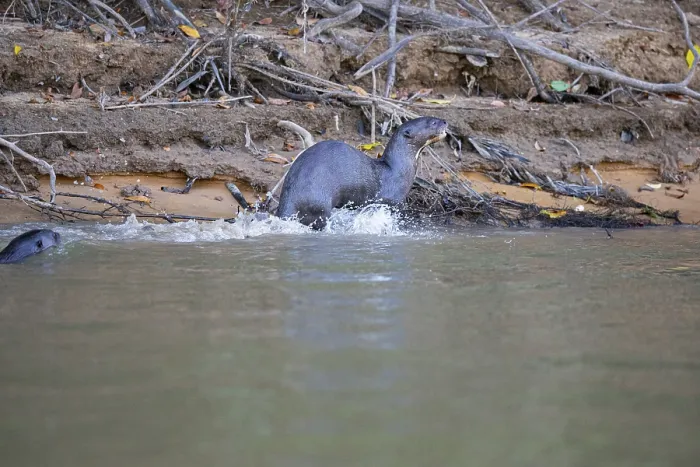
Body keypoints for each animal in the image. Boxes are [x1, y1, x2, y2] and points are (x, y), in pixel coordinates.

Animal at [276, 116, 449, 229]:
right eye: (433, 122)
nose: (445, 121)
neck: (397, 169)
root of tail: (290, 197)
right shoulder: (389, 201)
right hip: (318, 202)